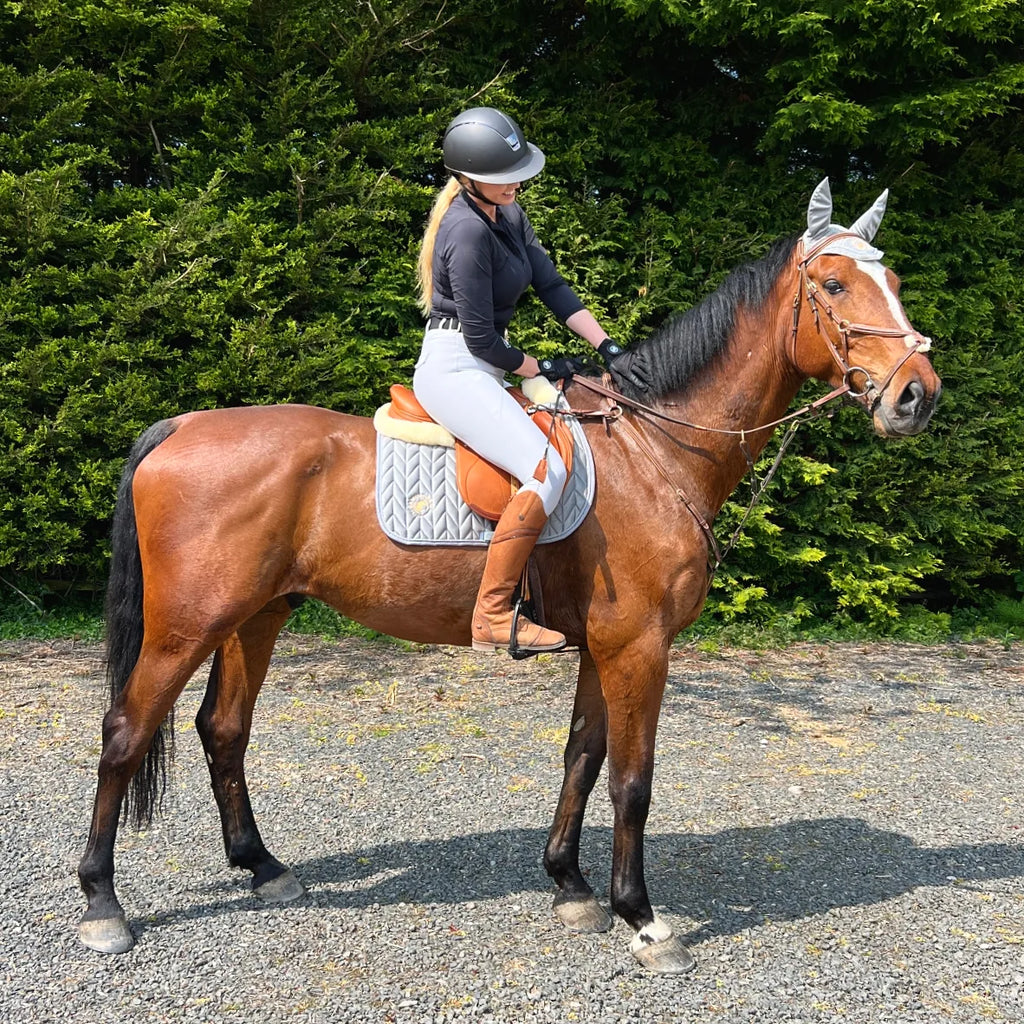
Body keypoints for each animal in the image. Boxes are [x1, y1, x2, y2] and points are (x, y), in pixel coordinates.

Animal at [77, 178, 942, 974]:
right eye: (834, 284)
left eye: (896, 282)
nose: (917, 395)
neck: (653, 452)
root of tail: (180, 425)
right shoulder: (640, 647)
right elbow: (633, 780)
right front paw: (643, 919)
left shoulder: (605, 646)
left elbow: (583, 757)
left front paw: (572, 886)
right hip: (189, 624)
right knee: (125, 734)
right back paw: (102, 905)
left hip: (258, 614)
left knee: (223, 731)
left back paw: (262, 867)